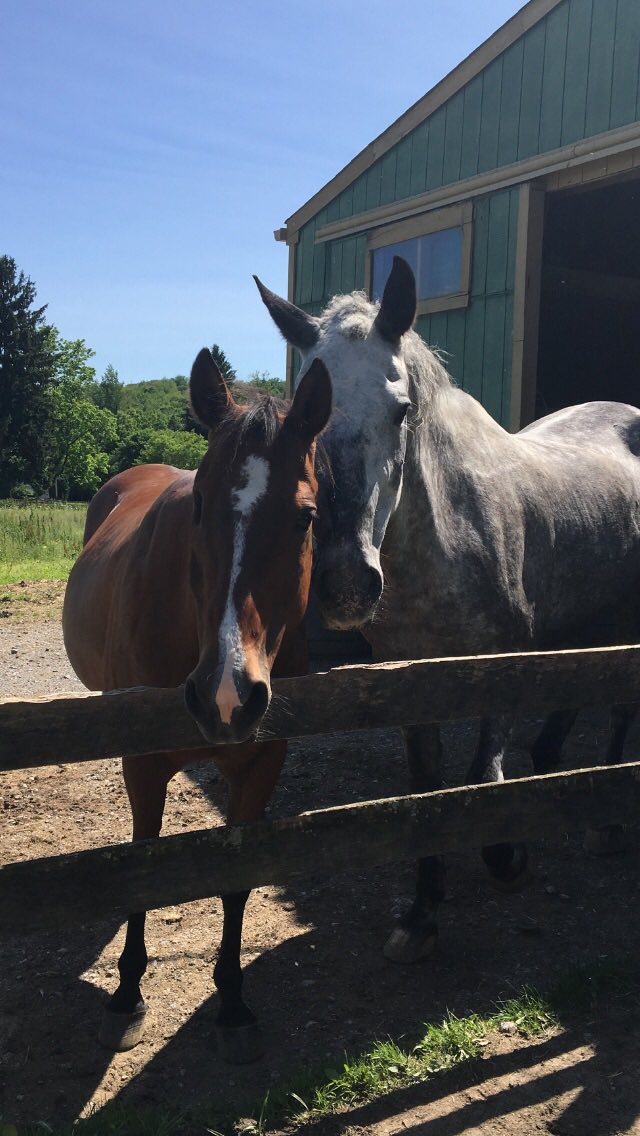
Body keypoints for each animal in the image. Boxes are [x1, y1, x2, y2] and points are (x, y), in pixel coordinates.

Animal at [62, 347, 334, 1063]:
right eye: (201, 505)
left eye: (305, 517)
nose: (225, 694)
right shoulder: (143, 762)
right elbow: (144, 865)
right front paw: (127, 995)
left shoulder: (262, 763)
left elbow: (235, 879)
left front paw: (233, 1001)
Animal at [255, 260, 640, 967]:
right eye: (305, 417)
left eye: (402, 409)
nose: (346, 584)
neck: (444, 539)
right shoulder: (414, 681)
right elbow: (429, 791)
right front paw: (422, 913)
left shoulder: (502, 664)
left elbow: (481, 777)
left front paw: (508, 856)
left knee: (621, 708)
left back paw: (604, 823)